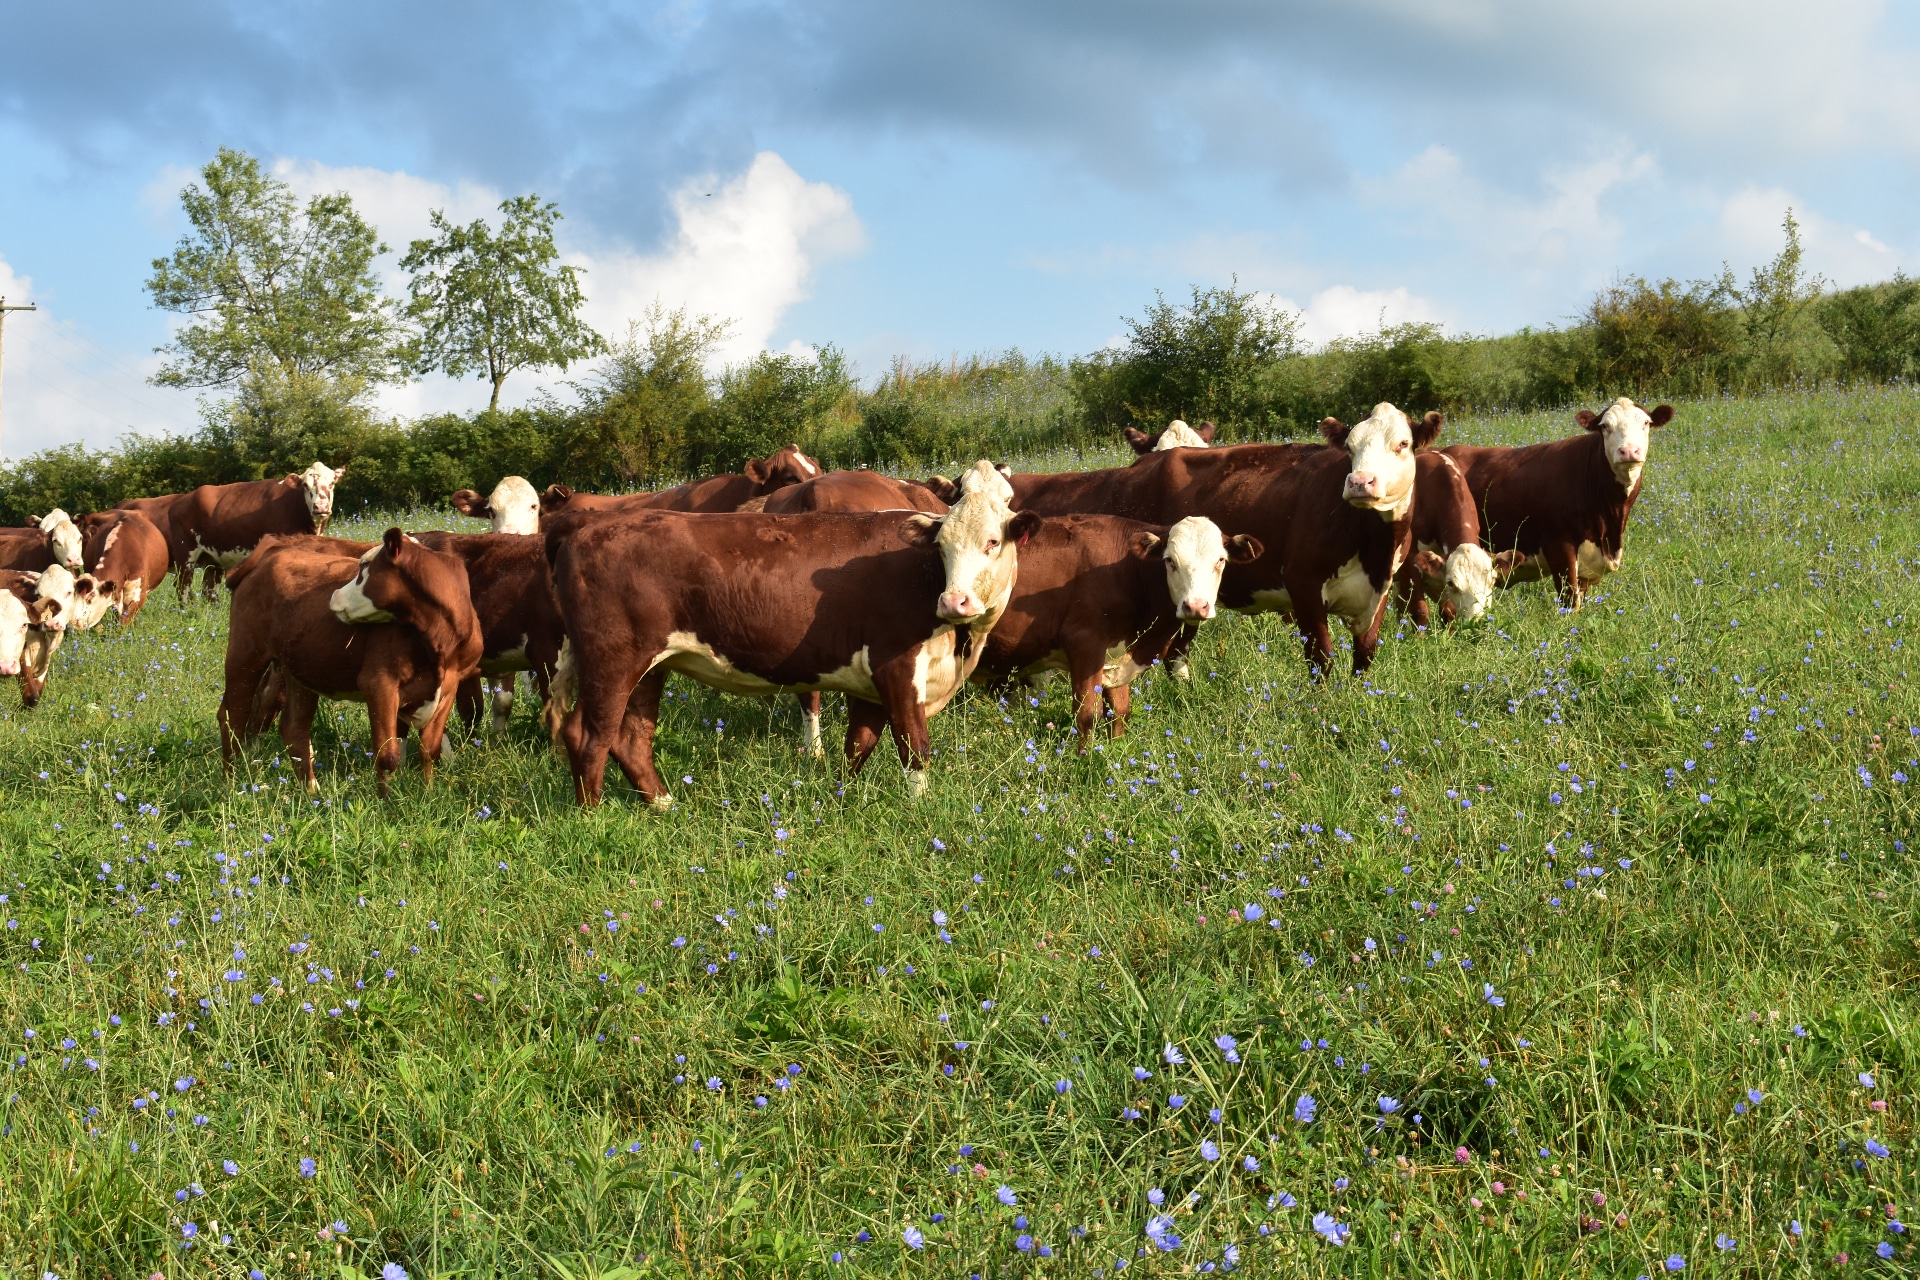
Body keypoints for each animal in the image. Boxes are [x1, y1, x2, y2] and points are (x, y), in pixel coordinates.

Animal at [219, 529, 480, 790]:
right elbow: (387, 755)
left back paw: (311, 791)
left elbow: (429, 750)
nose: (334, 596)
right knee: (232, 718)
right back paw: (231, 784)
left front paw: (427, 791)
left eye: (363, 566)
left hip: (298, 671)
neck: (440, 643)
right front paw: (387, 798)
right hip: (245, 654)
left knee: (294, 729)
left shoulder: (449, 688)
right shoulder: (379, 684)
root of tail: (274, 549)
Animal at [549, 460, 1044, 805]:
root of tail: (586, 524)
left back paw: (663, 804)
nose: (954, 601)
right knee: (589, 735)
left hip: (651, 666)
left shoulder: (869, 679)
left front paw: (843, 796)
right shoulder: (896, 664)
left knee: (631, 737)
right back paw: (592, 817)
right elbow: (914, 746)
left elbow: (858, 744)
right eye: (942, 545)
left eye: (993, 541)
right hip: (612, 661)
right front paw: (921, 811)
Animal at [1006, 404, 1443, 675]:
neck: (1371, 542)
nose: (1360, 482)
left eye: (1403, 444)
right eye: (1350, 448)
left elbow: (1364, 657)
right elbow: (1321, 658)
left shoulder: (1380, 590)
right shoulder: (1302, 585)